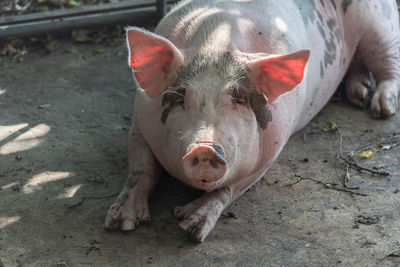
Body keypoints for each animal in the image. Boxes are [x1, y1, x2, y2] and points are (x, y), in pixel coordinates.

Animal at [104, 0, 400, 243]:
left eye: (238, 98)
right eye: (181, 97)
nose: (205, 148)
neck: (216, 42)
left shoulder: (271, 149)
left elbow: (228, 189)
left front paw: (190, 225)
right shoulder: (139, 120)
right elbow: (141, 168)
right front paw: (121, 223)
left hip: (380, 23)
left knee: (388, 64)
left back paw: (381, 109)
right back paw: (358, 94)